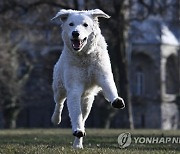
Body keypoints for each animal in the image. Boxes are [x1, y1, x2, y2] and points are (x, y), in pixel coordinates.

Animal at [50, 9, 124, 149]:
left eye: (85, 25)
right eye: (71, 24)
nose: (75, 33)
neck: (85, 56)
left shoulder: (103, 76)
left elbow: (110, 88)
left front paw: (116, 100)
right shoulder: (74, 88)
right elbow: (74, 113)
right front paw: (77, 129)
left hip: (87, 101)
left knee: (83, 117)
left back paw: (77, 144)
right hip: (59, 88)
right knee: (59, 103)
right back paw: (57, 120)